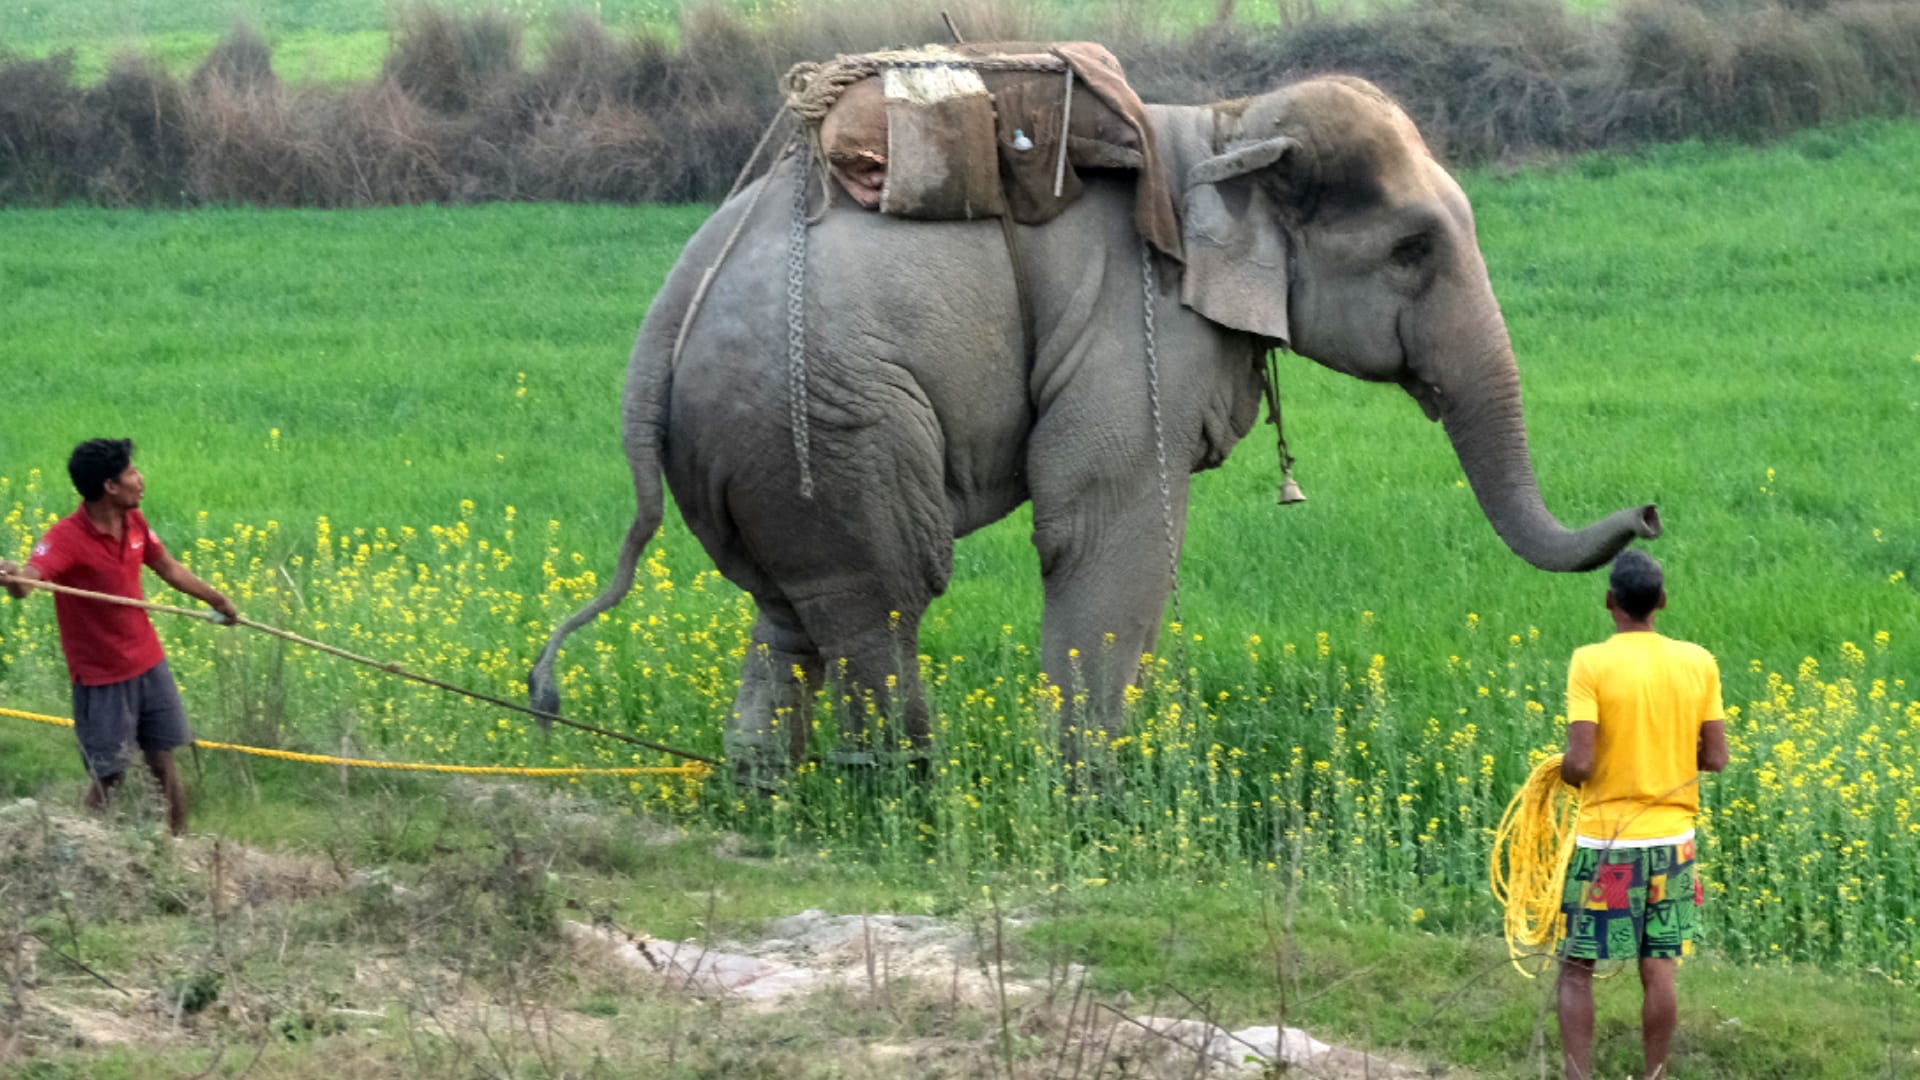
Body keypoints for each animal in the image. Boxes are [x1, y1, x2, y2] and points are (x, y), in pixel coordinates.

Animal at [528, 73, 1660, 780]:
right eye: (1414, 250)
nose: (1649, 516)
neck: (1222, 130)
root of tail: (662, 327)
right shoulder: (1141, 325)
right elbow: (1107, 523)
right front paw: (1090, 805)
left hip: (756, 446)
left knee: (788, 610)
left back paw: (771, 794)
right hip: (831, 415)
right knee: (884, 595)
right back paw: (903, 795)